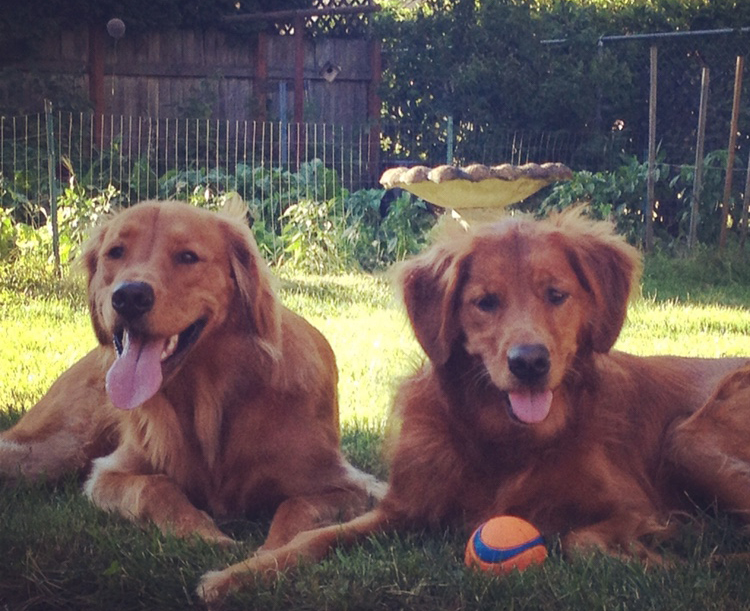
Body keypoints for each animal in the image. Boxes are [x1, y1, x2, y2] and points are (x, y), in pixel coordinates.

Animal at [0, 201, 384, 580]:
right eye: (115, 252)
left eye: (187, 257)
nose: (129, 296)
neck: (212, 398)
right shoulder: (108, 473)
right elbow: (155, 486)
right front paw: (205, 534)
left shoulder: (354, 485)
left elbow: (298, 503)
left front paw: (270, 553)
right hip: (48, 451)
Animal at [197, 209, 750, 604]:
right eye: (486, 302)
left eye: (557, 295)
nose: (529, 362)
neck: (503, 440)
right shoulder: (402, 508)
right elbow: (312, 540)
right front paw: (237, 575)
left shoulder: (633, 503)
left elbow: (582, 540)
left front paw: (659, 557)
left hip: (688, 438)